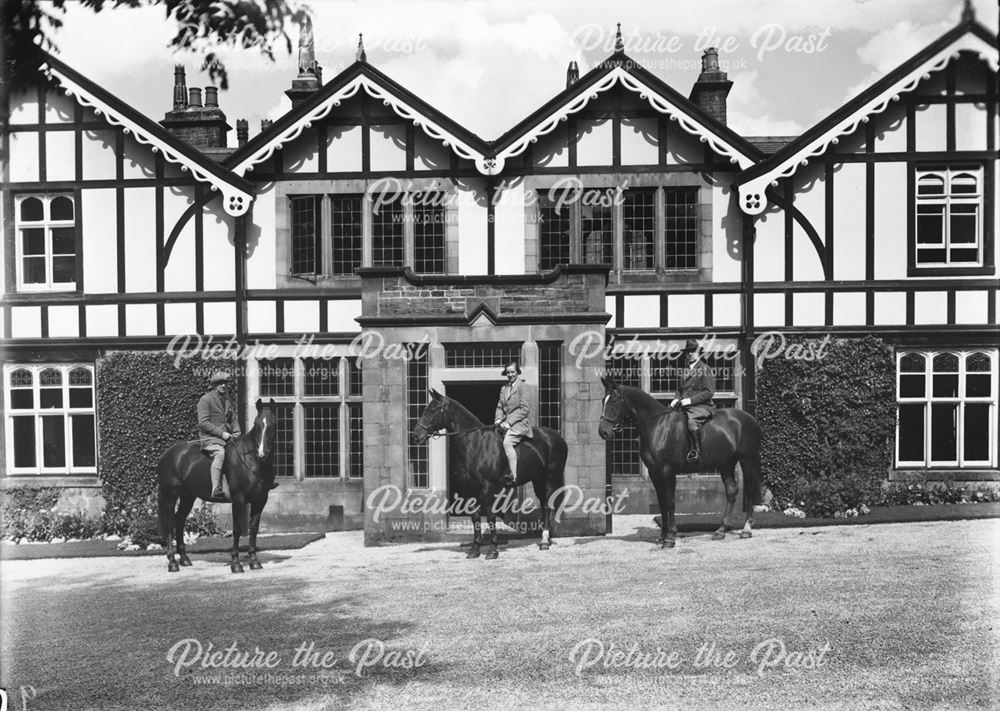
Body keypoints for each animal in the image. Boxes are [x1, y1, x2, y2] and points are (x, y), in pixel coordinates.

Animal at [158, 400, 280, 572]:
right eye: (256, 424)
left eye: (273, 424)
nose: (262, 454)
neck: (252, 461)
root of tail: (167, 454)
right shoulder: (238, 500)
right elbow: (237, 530)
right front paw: (236, 563)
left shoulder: (261, 500)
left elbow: (254, 529)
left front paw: (254, 561)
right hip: (170, 496)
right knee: (169, 524)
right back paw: (172, 563)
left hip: (188, 496)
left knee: (179, 520)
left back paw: (184, 559)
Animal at [410, 390, 568, 560]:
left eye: (433, 410)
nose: (415, 436)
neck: (475, 443)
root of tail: (557, 437)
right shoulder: (469, 489)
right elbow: (475, 517)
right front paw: (475, 549)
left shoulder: (488, 487)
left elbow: (491, 516)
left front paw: (493, 550)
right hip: (538, 479)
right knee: (544, 505)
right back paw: (545, 540)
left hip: (550, 478)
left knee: (548, 504)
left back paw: (545, 541)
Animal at [596, 378, 760, 552]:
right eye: (603, 400)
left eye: (614, 400)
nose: (603, 432)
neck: (657, 425)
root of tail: (749, 418)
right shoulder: (654, 472)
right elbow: (661, 502)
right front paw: (662, 536)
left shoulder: (667, 471)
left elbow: (670, 503)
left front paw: (670, 537)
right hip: (726, 464)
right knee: (731, 491)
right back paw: (721, 530)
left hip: (747, 460)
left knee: (749, 491)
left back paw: (746, 529)